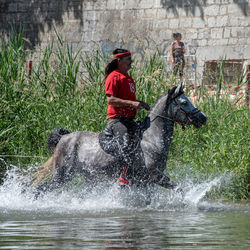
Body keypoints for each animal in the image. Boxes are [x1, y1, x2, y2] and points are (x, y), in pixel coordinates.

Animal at [33, 84, 207, 199]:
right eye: (184, 102)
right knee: (39, 189)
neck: (152, 139)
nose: (203, 118)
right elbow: (179, 189)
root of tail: (64, 138)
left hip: (89, 178)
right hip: (63, 175)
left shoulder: (147, 181)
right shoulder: (154, 175)